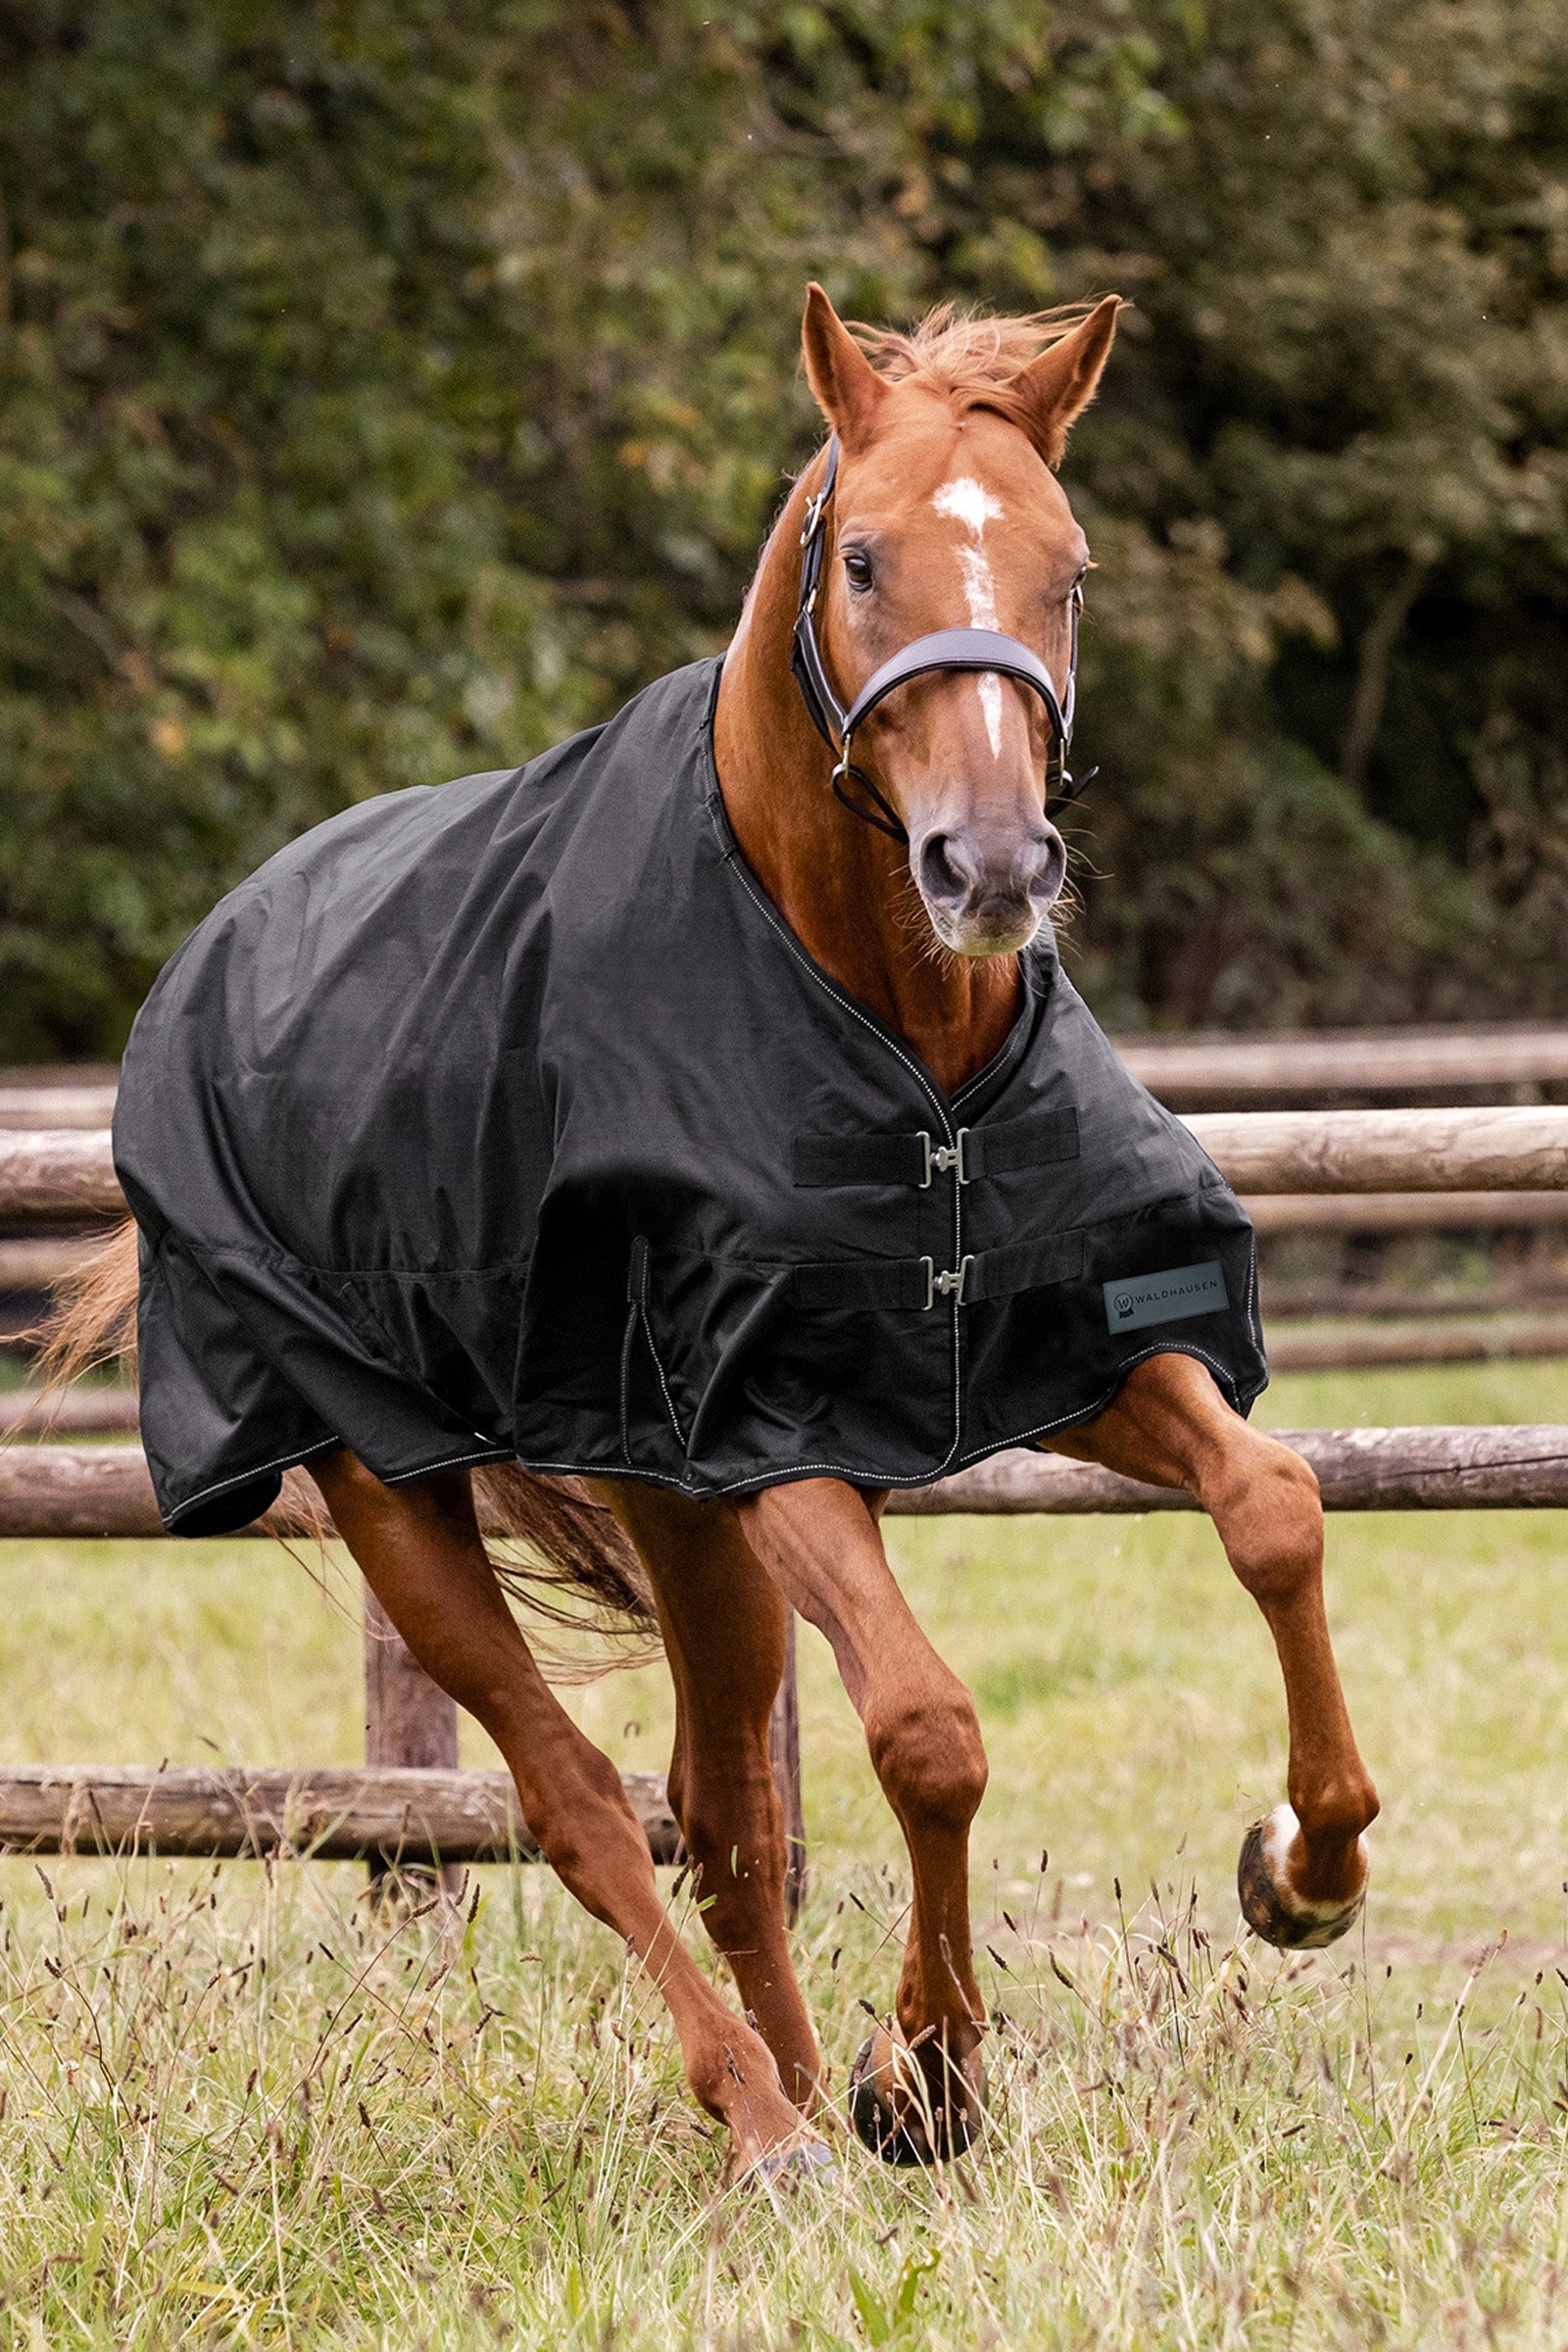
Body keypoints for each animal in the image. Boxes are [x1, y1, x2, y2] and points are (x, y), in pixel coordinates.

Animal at [51, 284, 1378, 2181]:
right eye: (866, 561)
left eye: (1070, 570)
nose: (991, 868)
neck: (904, 1047)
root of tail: (214, 952)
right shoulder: (776, 1437)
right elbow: (927, 1730)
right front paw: (938, 2072)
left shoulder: (1070, 1351)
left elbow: (1273, 1508)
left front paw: (1303, 1872)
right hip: (405, 1497)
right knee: (584, 1805)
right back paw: (765, 2116)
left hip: (676, 1518)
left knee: (725, 1808)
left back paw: (810, 2104)